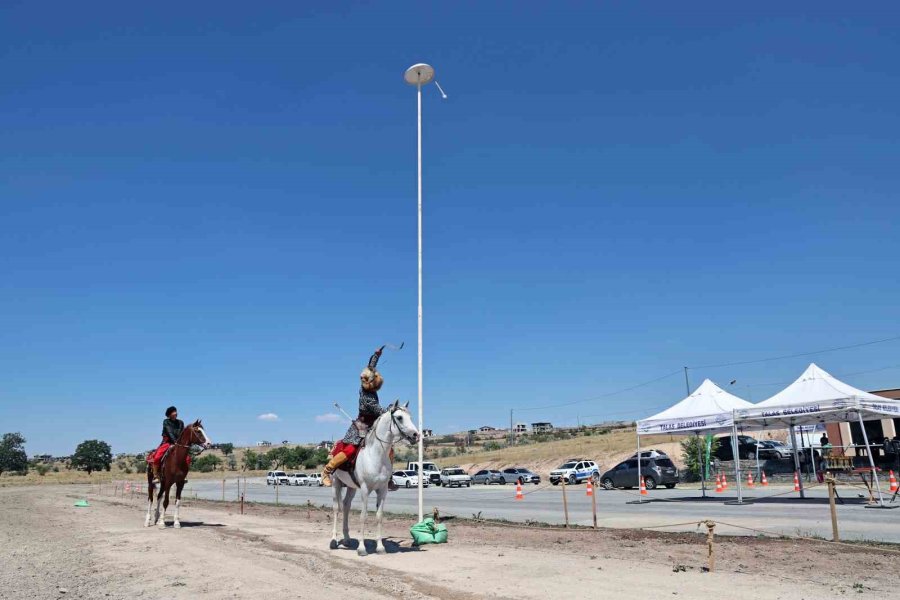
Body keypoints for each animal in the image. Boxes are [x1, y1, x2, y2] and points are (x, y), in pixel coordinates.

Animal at [332, 400, 420, 556]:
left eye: (410, 416)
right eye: (399, 417)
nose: (416, 435)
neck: (375, 455)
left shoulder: (383, 490)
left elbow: (379, 516)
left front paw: (380, 547)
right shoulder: (365, 489)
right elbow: (363, 516)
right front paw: (362, 548)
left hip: (351, 487)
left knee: (346, 506)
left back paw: (347, 539)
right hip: (336, 483)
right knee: (336, 508)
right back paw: (333, 541)